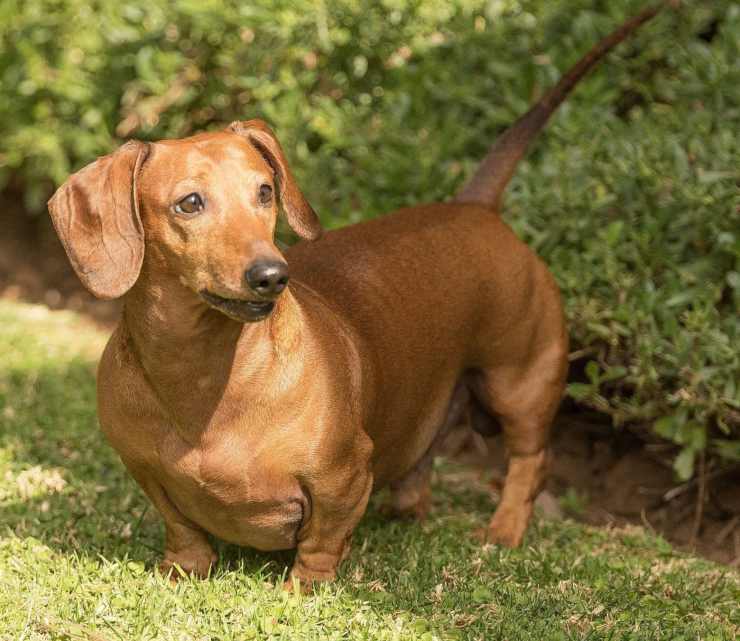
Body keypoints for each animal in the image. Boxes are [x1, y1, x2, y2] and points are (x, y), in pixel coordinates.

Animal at [50, 6, 664, 584]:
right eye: (190, 203)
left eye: (265, 191)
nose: (272, 275)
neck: (202, 380)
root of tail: (475, 206)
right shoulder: (145, 471)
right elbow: (182, 529)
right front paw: (183, 570)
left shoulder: (342, 475)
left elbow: (323, 541)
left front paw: (303, 589)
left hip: (520, 381)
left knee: (531, 460)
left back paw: (504, 530)